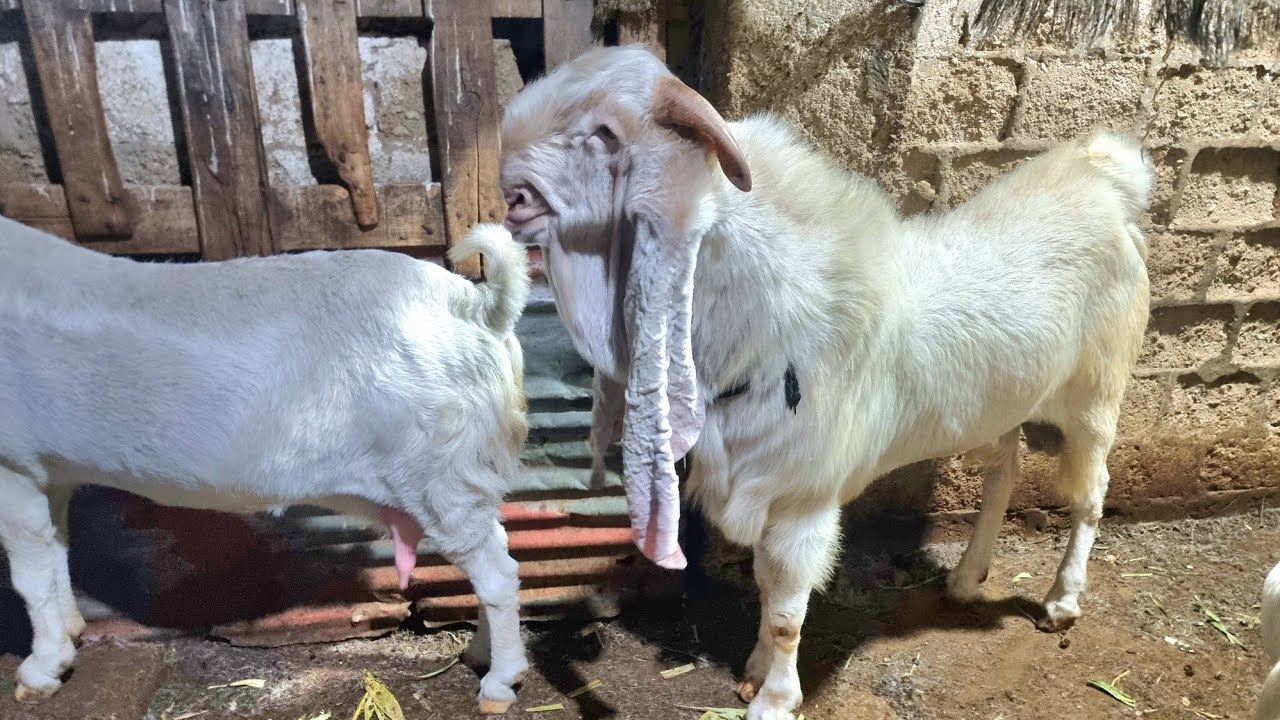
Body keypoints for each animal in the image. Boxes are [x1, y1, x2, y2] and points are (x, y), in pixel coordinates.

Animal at [0, 219, 530, 714]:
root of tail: (477, 303)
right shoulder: (50, 472)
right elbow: (57, 551)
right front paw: (71, 631)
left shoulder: (13, 464)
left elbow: (29, 576)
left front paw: (40, 672)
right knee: (497, 548)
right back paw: (479, 656)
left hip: (437, 468)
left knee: (496, 572)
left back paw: (498, 685)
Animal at [499, 45, 1152, 719]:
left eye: (605, 133)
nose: (512, 197)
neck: (766, 310)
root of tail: (1104, 181)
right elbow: (767, 590)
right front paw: (754, 671)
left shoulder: (804, 494)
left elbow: (788, 607)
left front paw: (775, 698)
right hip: (999, 404)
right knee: (1004, 471)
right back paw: (967, 578)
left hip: (1095, 398)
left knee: (1091, 495)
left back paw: (1061, 601)